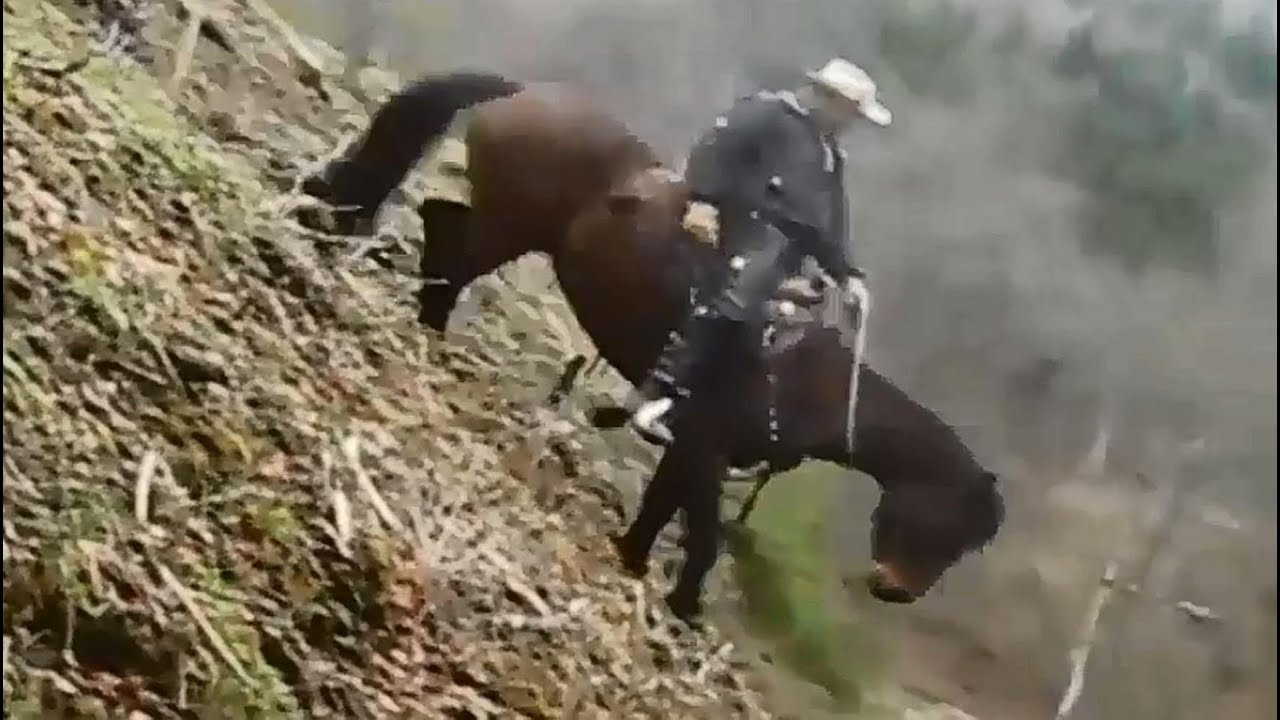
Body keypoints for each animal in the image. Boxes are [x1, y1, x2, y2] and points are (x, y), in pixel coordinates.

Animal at [298, 70, 1006, 620]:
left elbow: (663, 509)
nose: (897, 590)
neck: (813, 381)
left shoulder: (692, 445)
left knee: (442, 226)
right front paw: (685, 604)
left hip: (506, 225)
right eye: (954, 525)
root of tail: (526, 94)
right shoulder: (705, 446)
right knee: (451, 253)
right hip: (509, 225)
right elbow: (703, 534)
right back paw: (430, 326)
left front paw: (634, 559)